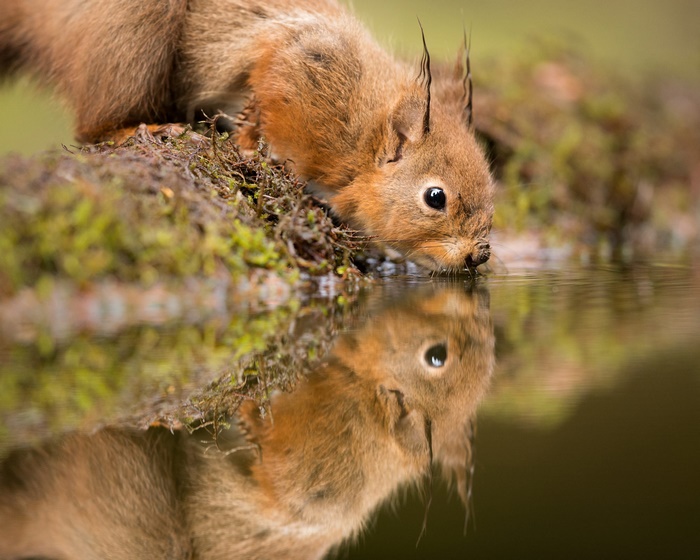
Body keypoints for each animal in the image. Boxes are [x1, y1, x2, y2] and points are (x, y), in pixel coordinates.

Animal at [0, 0, 494, 272]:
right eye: (435, 197)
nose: (478, 257)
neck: (361, 133)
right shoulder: (303, 63)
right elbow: (259, 96)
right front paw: (248, 149)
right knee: (90, 129)